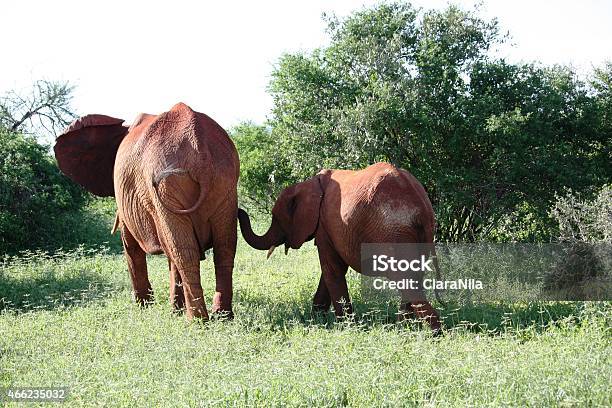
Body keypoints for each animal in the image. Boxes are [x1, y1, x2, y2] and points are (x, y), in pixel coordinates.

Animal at [54, 102, 239, 318]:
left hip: (166, 185)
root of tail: (200, 150)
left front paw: (145, 307)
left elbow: (130, 246)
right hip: (224, 178)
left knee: (184, 252)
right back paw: (223, 316)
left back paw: (197, 321)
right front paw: (174, 310)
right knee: (224, 248)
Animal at [237, 161, 442, 334]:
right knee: (414, 277)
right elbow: (331, 270)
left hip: (393, 233)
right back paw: (403, 327)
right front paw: (317, 319)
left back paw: (433, 332)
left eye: (276, 217)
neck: (306, 184)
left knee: (404, 278)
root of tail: (421, 205)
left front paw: (346, 326)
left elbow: (332, 269)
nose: (239, 210)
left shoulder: (324, 224)